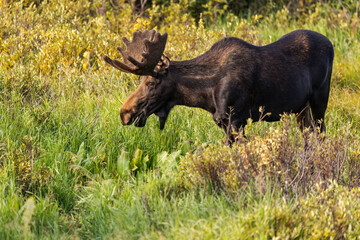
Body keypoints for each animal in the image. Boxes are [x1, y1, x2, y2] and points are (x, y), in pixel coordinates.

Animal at [102, 28, 334, 144]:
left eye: (151, 82)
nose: (125, 113)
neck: (205, 95)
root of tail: (331, 43)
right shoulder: (221, 120)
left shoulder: (236, 118)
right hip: (300, 109)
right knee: (308, 134)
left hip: (320, 99)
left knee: (321, 133)